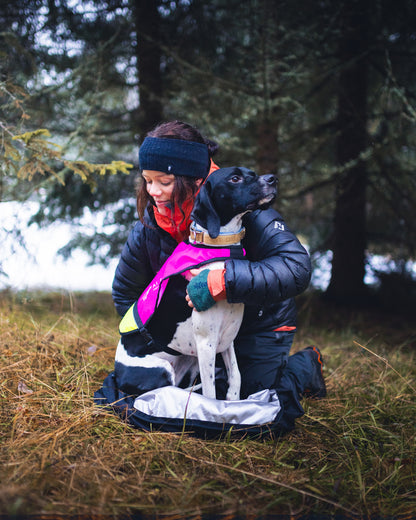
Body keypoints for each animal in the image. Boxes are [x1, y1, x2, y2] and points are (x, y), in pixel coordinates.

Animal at [155, 169, 276, 400]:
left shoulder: (226, 338)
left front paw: (233, 400)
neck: (219, 247)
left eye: (252, 173)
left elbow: (236, 374)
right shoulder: (206, 343)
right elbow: (210, 393)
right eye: (235, 178)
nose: (273, 179)